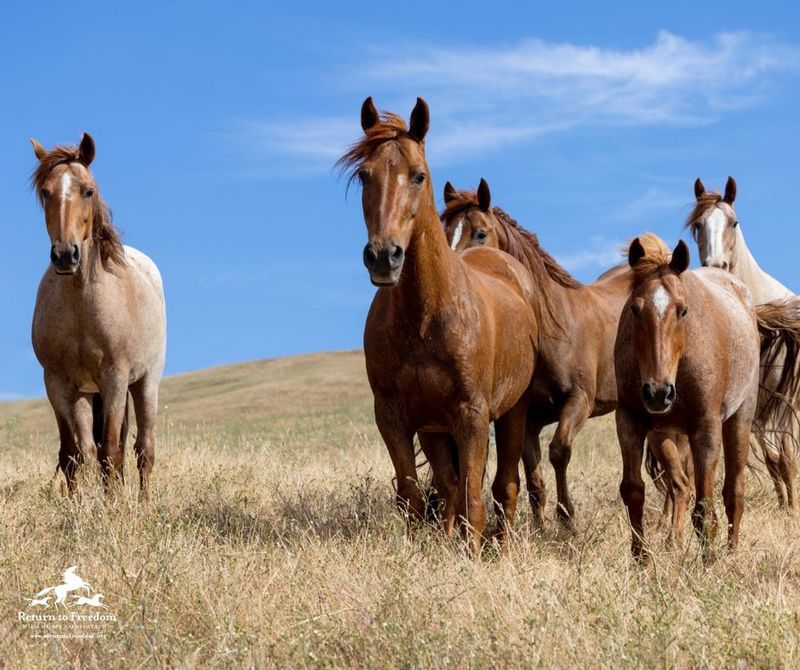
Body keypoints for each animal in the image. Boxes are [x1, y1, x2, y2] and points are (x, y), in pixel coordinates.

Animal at [31, 134, 167, 502]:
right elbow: (73, 454)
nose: (66, 255)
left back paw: (143, 504)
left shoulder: (115, 377)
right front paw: (75, 507)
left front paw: (113, 508)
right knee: (94, 449)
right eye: (45, 192)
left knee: (143, 449)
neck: (81, 303)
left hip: (145, 382)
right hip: (89, 393)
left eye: (87, 190)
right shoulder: (58, 383)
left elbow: (111, 452)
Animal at [688, 178, 800, 510]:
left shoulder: (782, 405)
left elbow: (786, 458)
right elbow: (773, 459)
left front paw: (791, 508)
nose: (716, 264)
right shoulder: (757, 408)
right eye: (698, 225)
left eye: (733, 222)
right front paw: (784, 505)